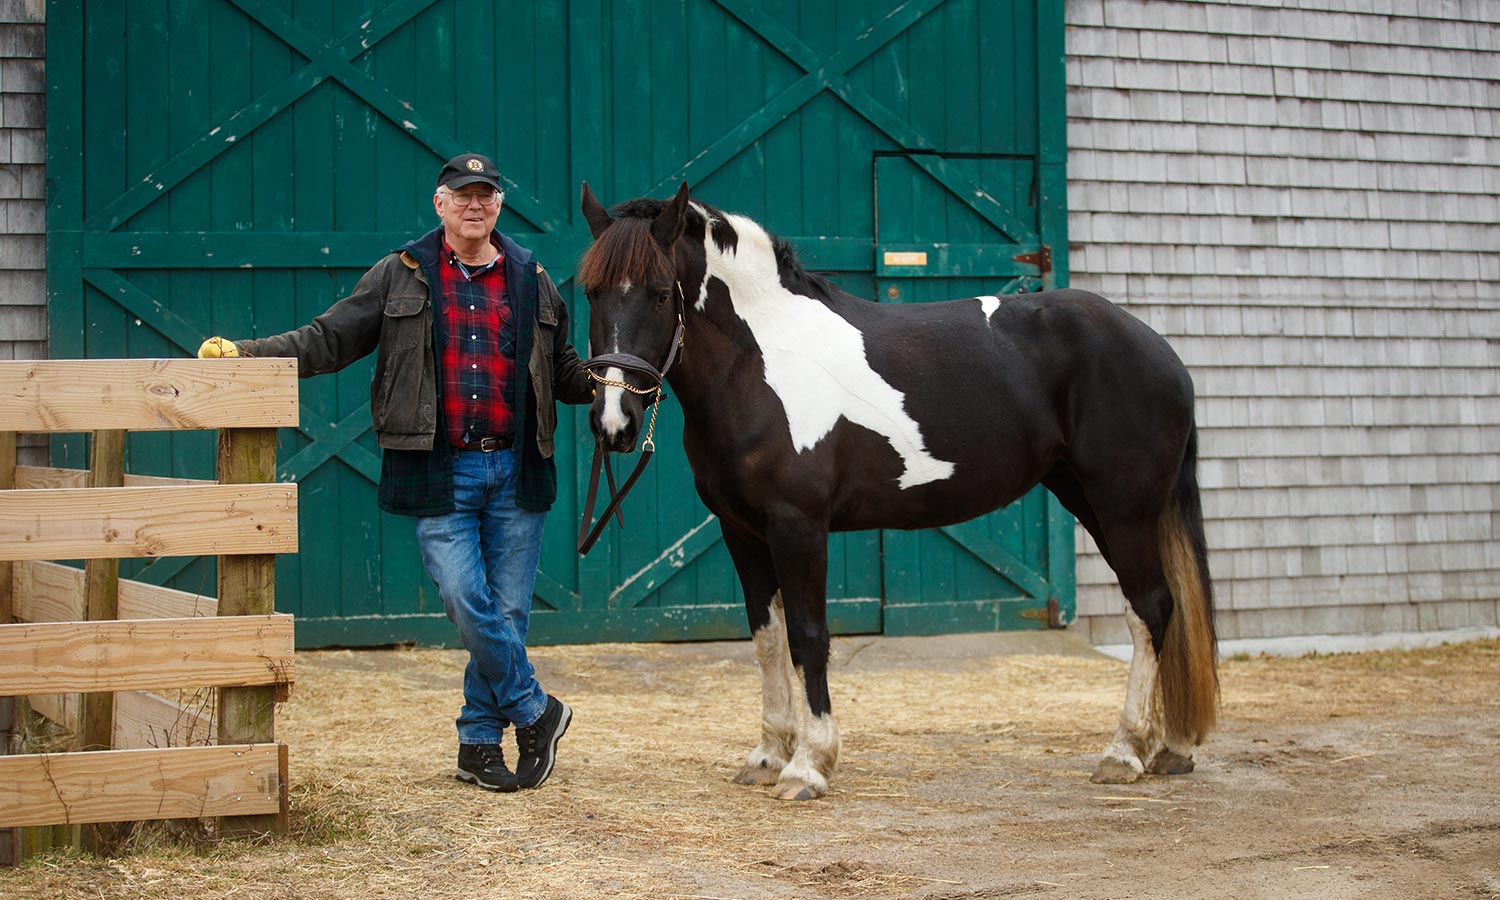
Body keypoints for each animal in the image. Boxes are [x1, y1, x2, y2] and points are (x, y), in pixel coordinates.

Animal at [573, 183, 1218, 804]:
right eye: (591, 294)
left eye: (662, 293)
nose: (613, 423)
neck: (763, 360)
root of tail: (1163, 353)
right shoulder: (743, 533)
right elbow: (766, 640)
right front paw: (767, 756)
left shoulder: (798, 527)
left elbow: (809, 637)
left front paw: (808, 766)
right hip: (1089, 499)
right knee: (1163, 609)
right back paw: (1169, 749)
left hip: (1123, 510)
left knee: (1150, 609)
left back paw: (1124, 753)